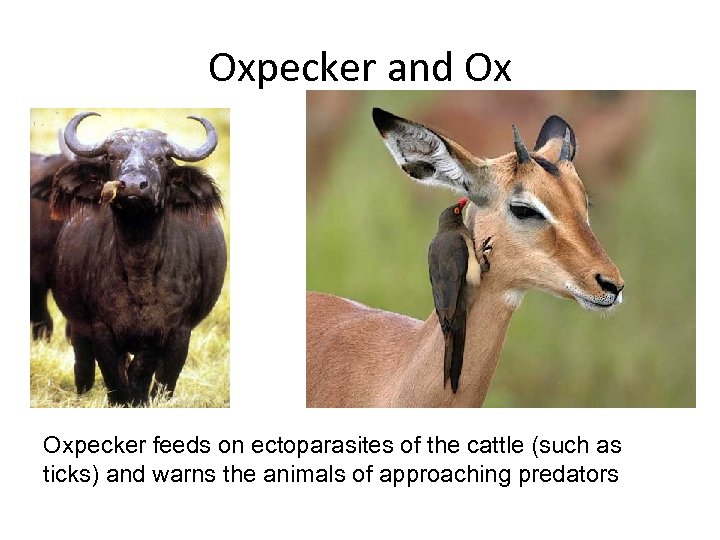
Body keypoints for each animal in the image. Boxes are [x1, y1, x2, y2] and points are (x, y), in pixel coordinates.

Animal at [49, 112, 227, 406]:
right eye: (112, 156)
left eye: (162, 159)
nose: (133, 186)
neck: (138, 272)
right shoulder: (102, 330)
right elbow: (114, 377)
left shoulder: (169, 331)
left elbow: (144, 372)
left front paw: (140, 397)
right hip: (77, 326)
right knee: (83, 361)